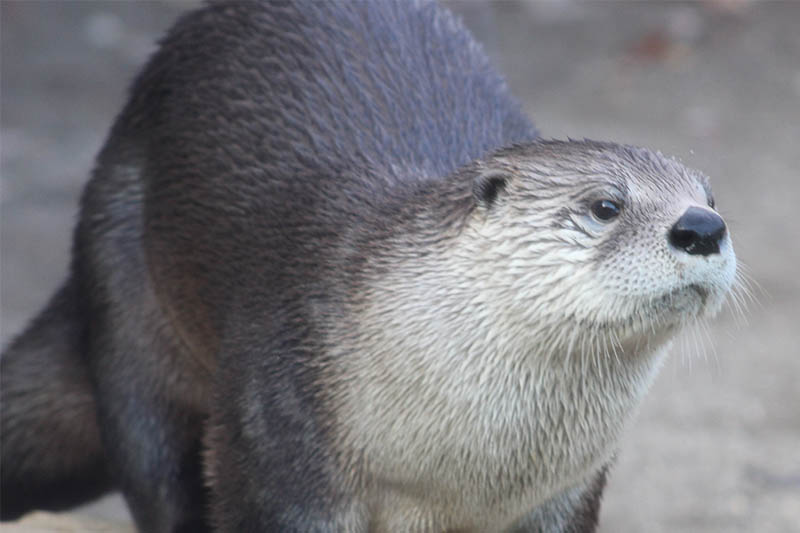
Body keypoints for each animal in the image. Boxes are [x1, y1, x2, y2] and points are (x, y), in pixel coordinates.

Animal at [0, 1, 736, 532]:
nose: (702, 228)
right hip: (130, 307)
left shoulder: (565, 493)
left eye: (711, 196)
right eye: (606, 205)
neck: (454, 474)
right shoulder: (279, 443)